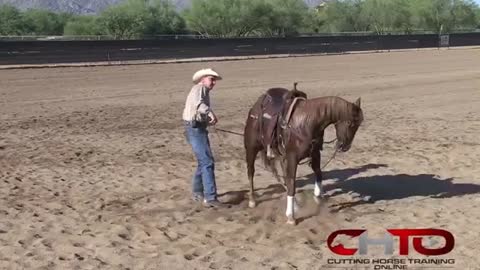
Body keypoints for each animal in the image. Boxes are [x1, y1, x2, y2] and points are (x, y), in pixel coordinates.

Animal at [244, 85, 364, 225]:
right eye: (350, 123)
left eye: (359, 124)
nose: (344, 147)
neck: (307, 123)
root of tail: (255, 107)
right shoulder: (292, 158)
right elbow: (292, 183)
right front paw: (291, 217)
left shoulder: (315, 154)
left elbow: (318, 174)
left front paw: (317, 197)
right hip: (251, 149)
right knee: (251, 172)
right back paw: (252, 200)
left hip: (281, 155)